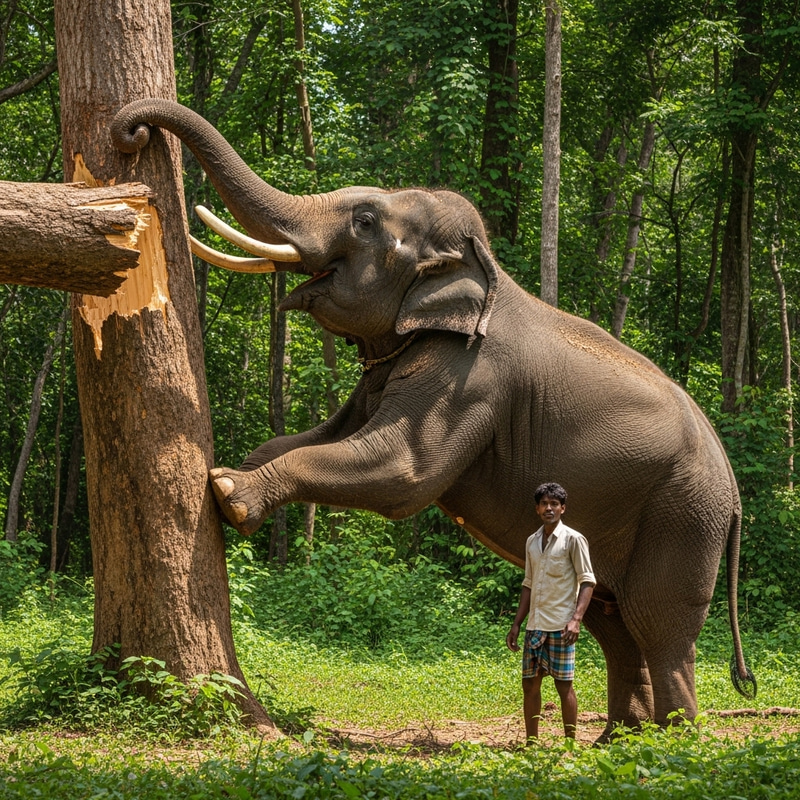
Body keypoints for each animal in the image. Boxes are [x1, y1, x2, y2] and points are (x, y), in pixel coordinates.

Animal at [112, 99, 756, 740]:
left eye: (365, 221)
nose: (131, 131)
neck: (481, 265)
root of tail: (734, 494)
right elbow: (334, 435)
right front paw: (243, 466)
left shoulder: (468, 376)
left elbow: (402, 469)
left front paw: (229, 493)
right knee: (611, 619)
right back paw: (616, 739)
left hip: (681, 515)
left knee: (661, 626)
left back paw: (675, 739)